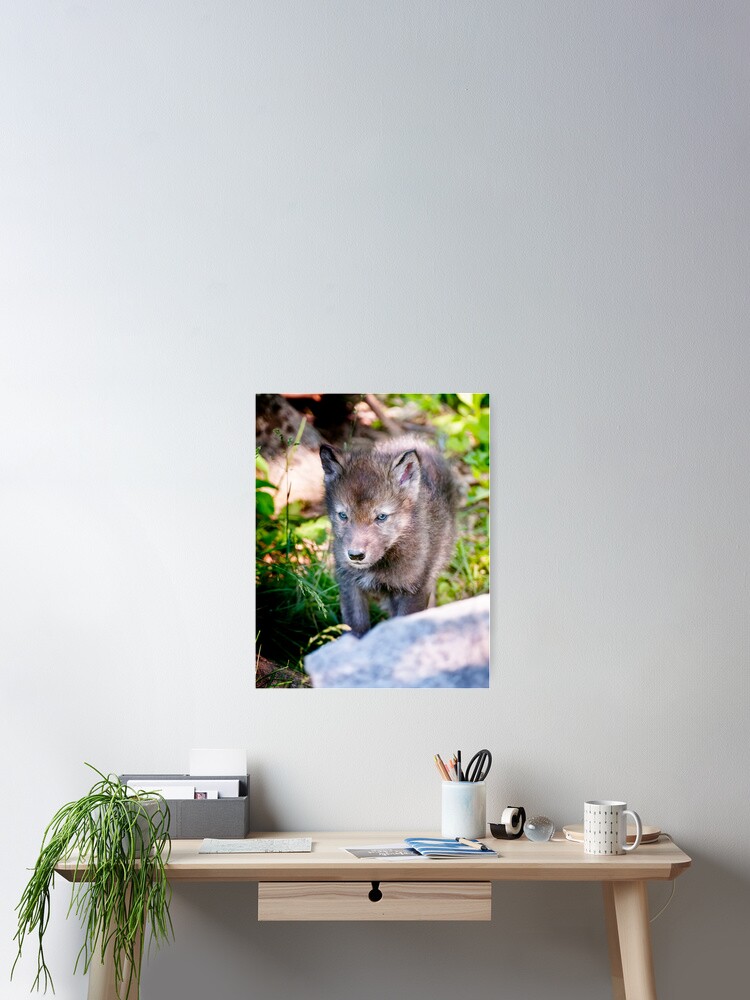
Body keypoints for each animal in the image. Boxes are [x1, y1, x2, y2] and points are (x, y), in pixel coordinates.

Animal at [319, 436, 459, 636]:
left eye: (381, 517)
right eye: (343, 515)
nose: (355, 555)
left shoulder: (414, 590)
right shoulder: (348, 583)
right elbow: (356, 627)